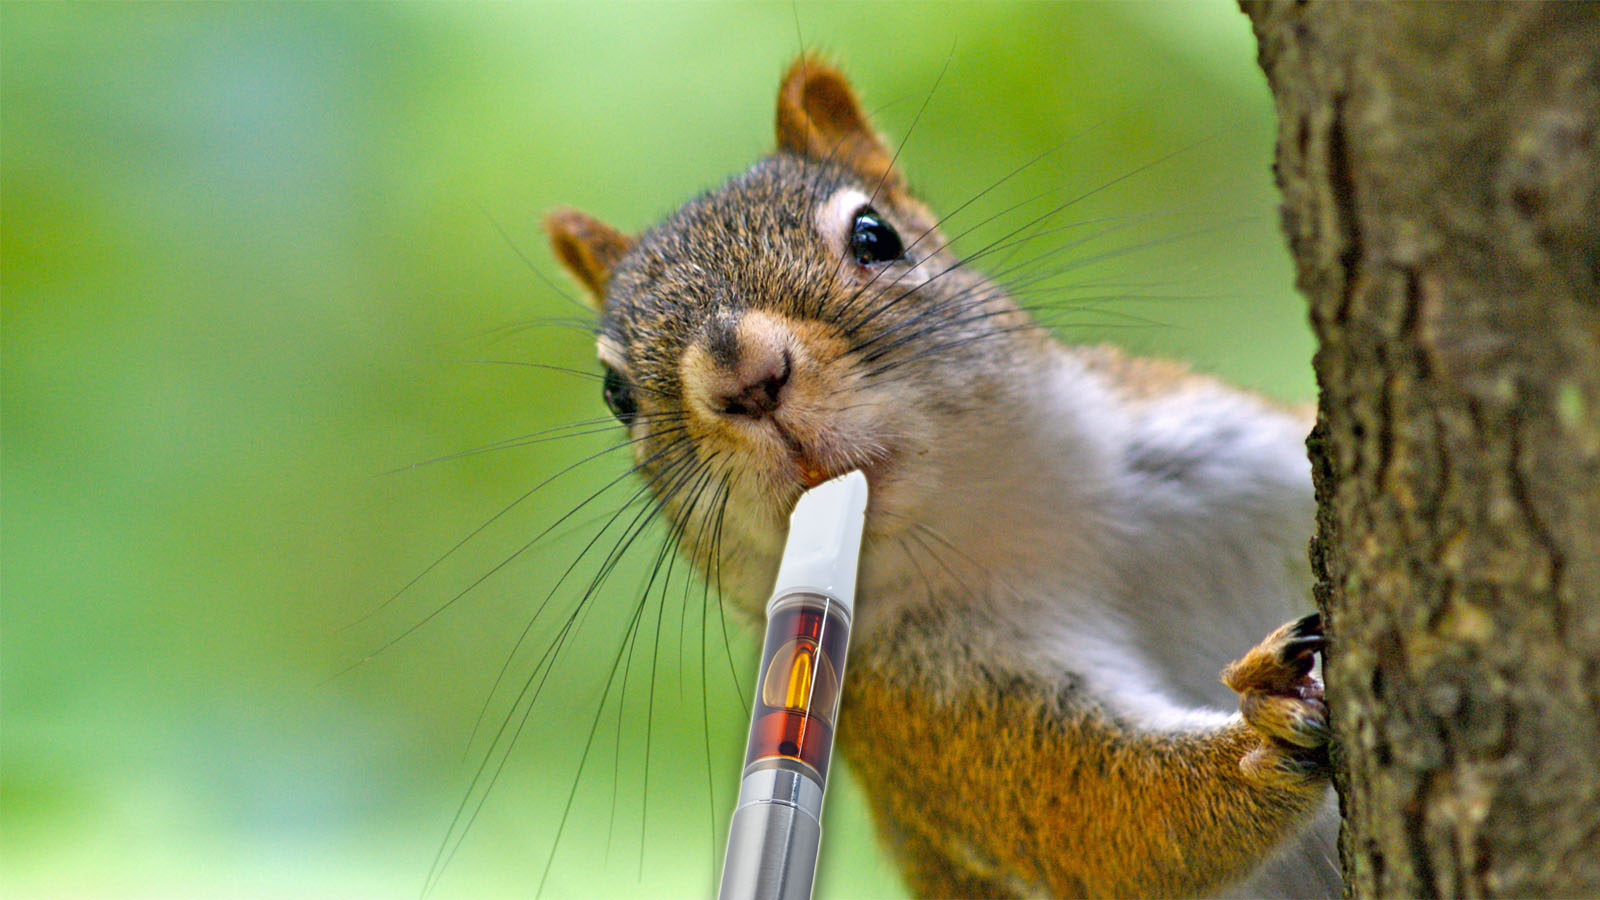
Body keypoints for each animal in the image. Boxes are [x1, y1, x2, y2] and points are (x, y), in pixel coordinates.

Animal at [543, 55, 1339, 899]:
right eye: (616, 393)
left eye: (875, 235)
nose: (746, 379)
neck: (1008, 520)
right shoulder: (924, 707)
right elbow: (1100, 812)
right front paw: (1263, 729)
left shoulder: (1229, 447)